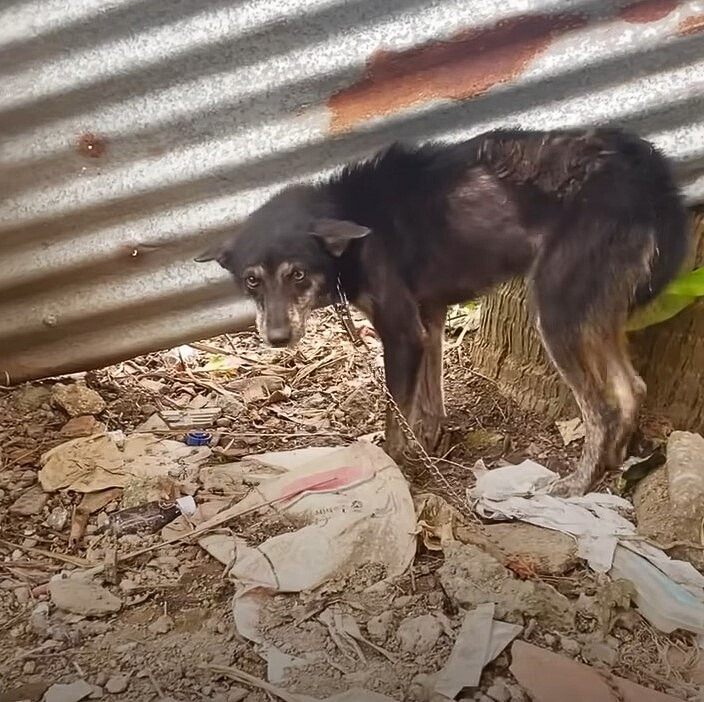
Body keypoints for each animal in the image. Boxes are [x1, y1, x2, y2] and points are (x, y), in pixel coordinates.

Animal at [195, 128, 692, 500]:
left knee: (602, 407)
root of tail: (647, 171)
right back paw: (614, 463)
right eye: (252, 280)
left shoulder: (402, 333)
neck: (350, 223)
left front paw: (395, 465)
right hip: (591, 310)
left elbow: (396, 416)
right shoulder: (429, 320)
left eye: (297, 274)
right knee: (631, 388)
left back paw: (578, 483)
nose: (277, 338)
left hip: (556, 312)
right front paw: (431, 446)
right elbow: (429, 405)